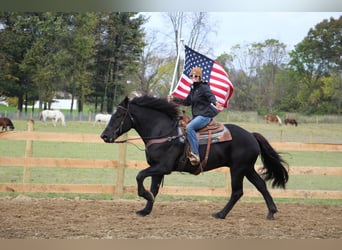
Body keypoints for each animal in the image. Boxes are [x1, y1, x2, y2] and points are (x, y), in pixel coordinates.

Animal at [99, 96, 288, 220]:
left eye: (117, 116)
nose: (104, 136)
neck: (163, 132)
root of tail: (251, 135)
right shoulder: (157, 169)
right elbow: (154, 189)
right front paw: (145, 209)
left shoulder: (163, 167)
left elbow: (139, 177)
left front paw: (145, 197)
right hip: (247, 169)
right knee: (261, 185)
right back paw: (271, 212)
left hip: (238, 169)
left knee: (237, 192)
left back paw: (220, 214)